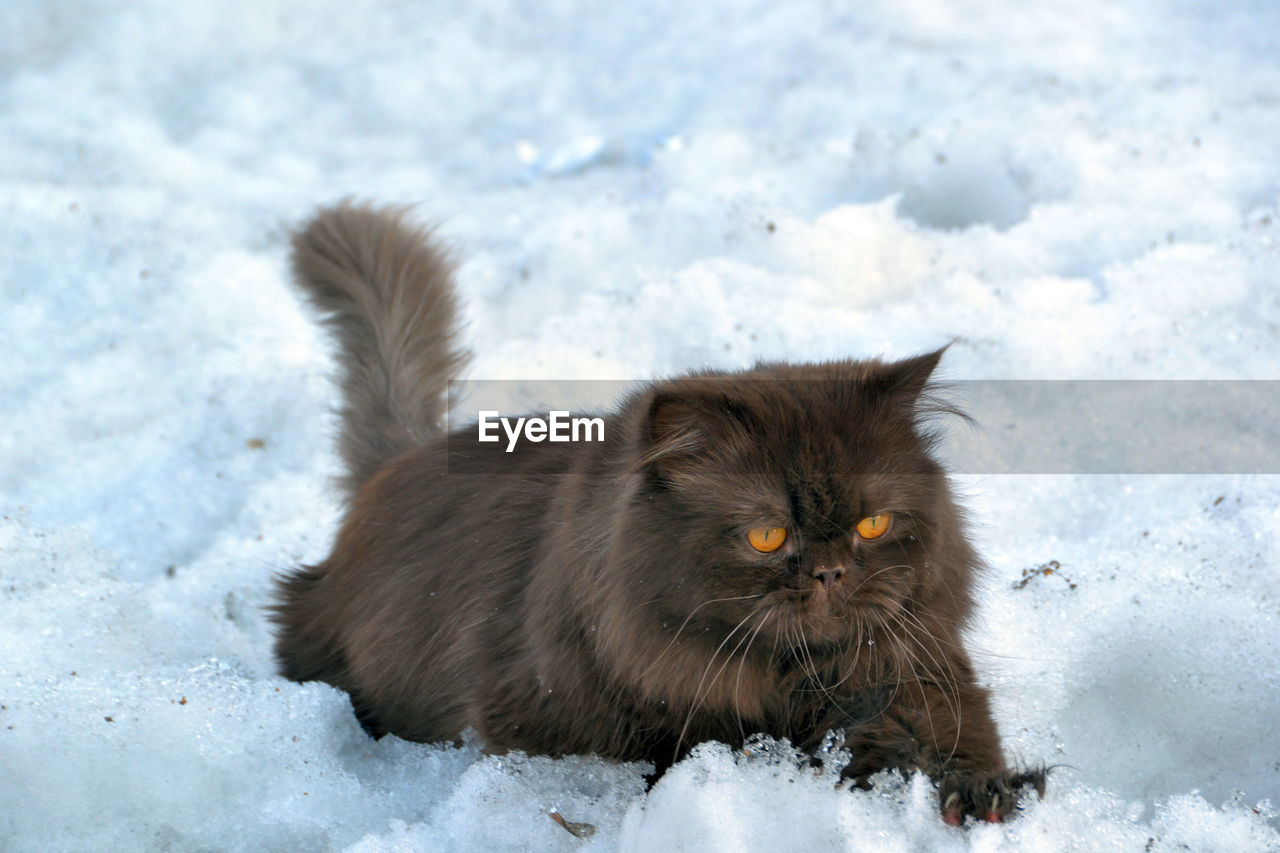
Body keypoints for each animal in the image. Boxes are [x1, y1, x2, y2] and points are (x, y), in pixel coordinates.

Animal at [275, 201, 1044, 824]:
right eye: (768, 535)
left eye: (872, 525)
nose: (830, 573)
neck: (787, 682)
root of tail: (399, 462)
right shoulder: (546, 716)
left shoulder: (917, 670)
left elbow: (950, 738)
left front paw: (984, 794)